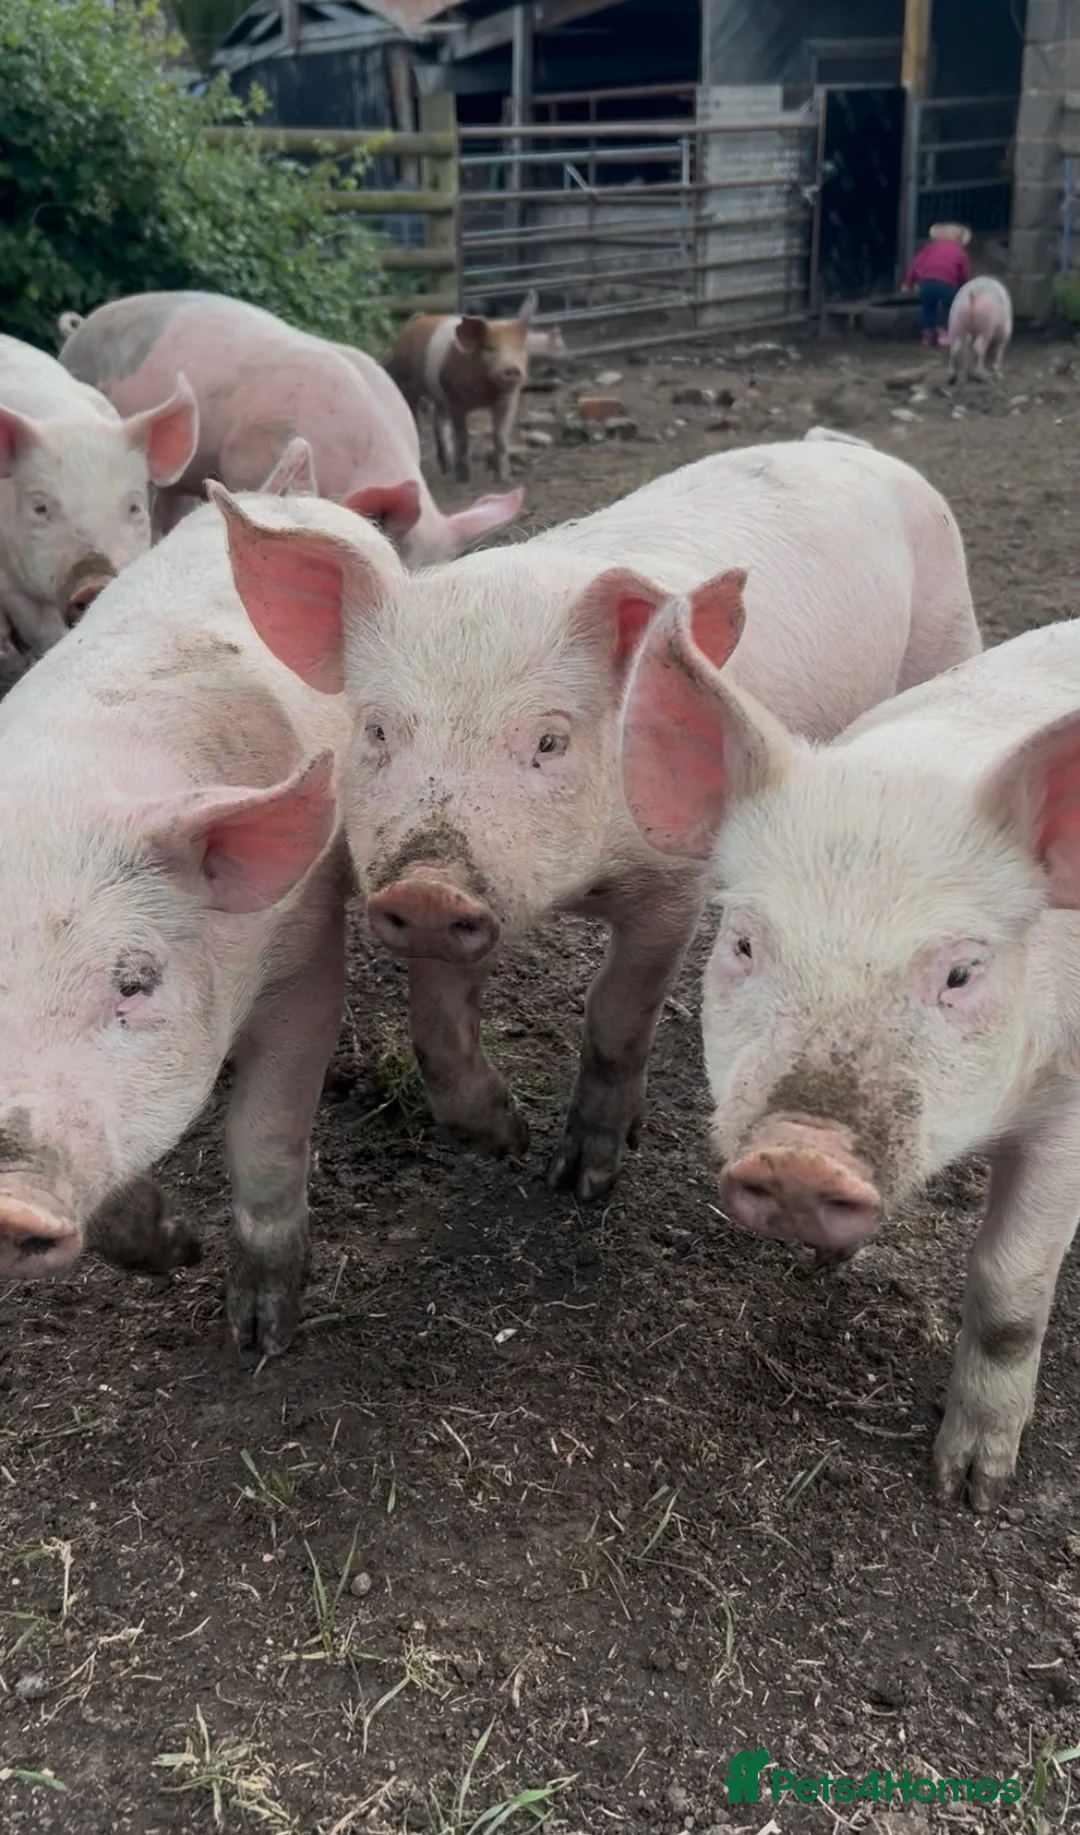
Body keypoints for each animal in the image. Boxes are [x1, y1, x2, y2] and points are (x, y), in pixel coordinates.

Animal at [0, 479, 364, 1357]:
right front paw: (176, 1248)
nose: (6, 1197)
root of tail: (284, 487)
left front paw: (261, 1334)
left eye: (135, 981)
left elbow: (264, 1132)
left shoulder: (304, 956)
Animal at [210, 439, 981, 1201]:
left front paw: (583, 1180)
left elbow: (618, 1015)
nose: (428, 888)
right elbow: (436, 1019)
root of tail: (849, 446)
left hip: (947, 636)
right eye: (376, 728)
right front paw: (503, 1139)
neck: (581, 888)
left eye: (550, 740)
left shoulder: (675, 887)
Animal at [386, 291, 538, 484]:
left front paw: (504, 480)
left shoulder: (508, 399)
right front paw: (464, 480)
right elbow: (462, 438)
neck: (486, 391)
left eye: (521, 347)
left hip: (438, 394)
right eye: (490, 348)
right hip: (405, 384)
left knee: (438, 421)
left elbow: (501, 438)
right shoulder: (455, 399)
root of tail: (414, 321)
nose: (512, 369)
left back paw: (447, 468)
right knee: (415, 420)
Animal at [620, 599, 1080, 1511]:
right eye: (745, 940)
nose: (801, 1154)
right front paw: (829, 1260)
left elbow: (1011, 1290)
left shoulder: (1071, 1100)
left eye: (962, 971)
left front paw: (969, 1489)